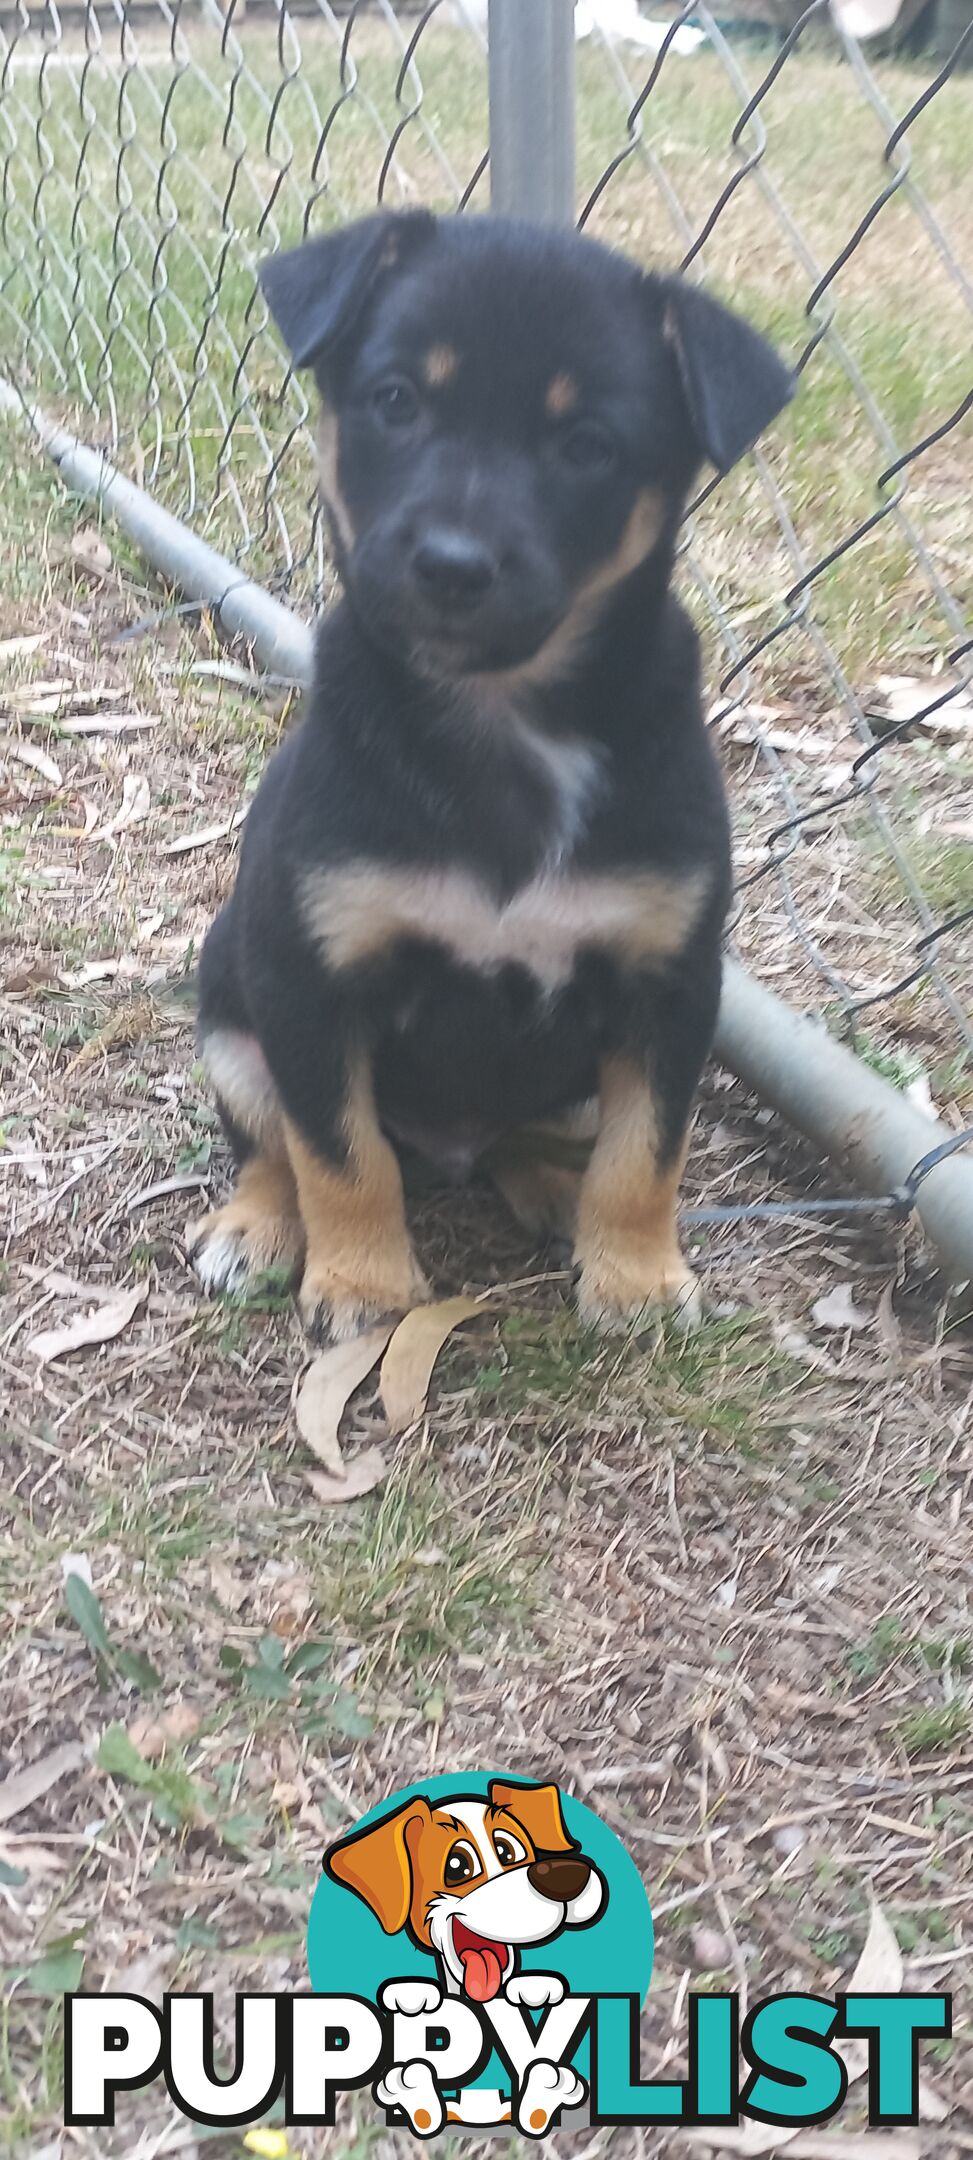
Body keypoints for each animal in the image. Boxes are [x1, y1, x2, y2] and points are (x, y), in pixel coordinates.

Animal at [188, 210, 791, 1339]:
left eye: (588, 446)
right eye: (395, 400)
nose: (452, 567)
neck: (502, 722)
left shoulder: (670, 985)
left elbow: (648, 1152)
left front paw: (636, 1280)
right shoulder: (308, 983)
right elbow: (338, 1150)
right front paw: (364, 1285)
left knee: (545, 1137)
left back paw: (552, 1190)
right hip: (228, 1015)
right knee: (273, 1143)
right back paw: (257, 1226)